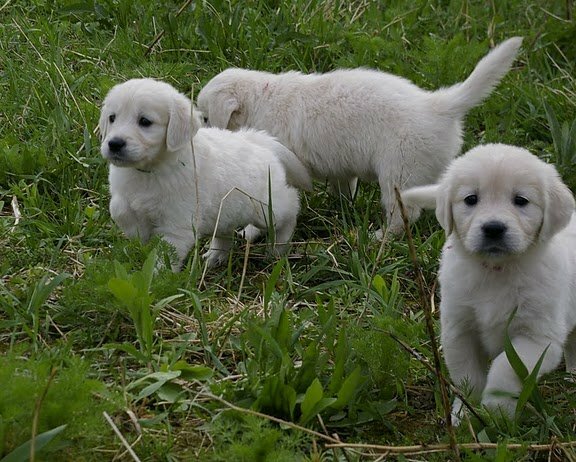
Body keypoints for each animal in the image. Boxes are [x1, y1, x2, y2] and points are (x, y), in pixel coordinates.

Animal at [99, 76, 310, 270]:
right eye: (112, 118)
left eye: (145, 121)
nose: (114, 143)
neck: (150, 170)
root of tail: (259, 141)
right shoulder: (123, 191)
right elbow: (118, 208)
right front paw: (138, 232)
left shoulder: (178, 224)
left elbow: (164, 256)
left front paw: (160, 277)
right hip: (227, 211)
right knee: (224, 233)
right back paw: (215, 256)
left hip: (266, 208)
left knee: (291, 208)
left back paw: (277, 249)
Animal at [200, 37, 524, 235]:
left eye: (205, 116)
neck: (260, 99)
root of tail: (438, 105)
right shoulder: (341, 167)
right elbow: (345, 186)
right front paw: (343, 207)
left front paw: (249, 232)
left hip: (398, 172)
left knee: (404, 215)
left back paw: (380, 237)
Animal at [400, 145, 576, 422]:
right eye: (471, 199)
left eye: (521, 200)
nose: (493, 228)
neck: (497, 270)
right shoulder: (459, 329)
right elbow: (468, 376)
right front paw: (466, 414)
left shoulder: (537, 338)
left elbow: (505, 368)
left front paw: (497, 411)